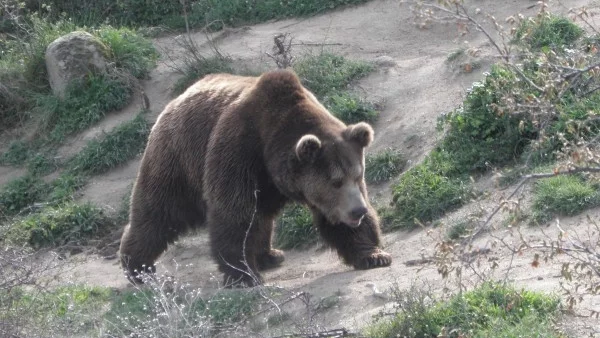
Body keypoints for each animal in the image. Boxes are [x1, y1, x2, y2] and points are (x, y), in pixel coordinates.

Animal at [120, 70, 394, 286]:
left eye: (357, 176)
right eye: (336, 181)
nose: (358, 211)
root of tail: (175, 100)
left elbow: (338, 223)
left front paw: (374, 255)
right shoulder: (239, 151)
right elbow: (234, 213)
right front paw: (243, 274)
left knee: (261, 216)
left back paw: (269, 255)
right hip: (178, 159)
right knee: (159, 212)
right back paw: (138, 267)